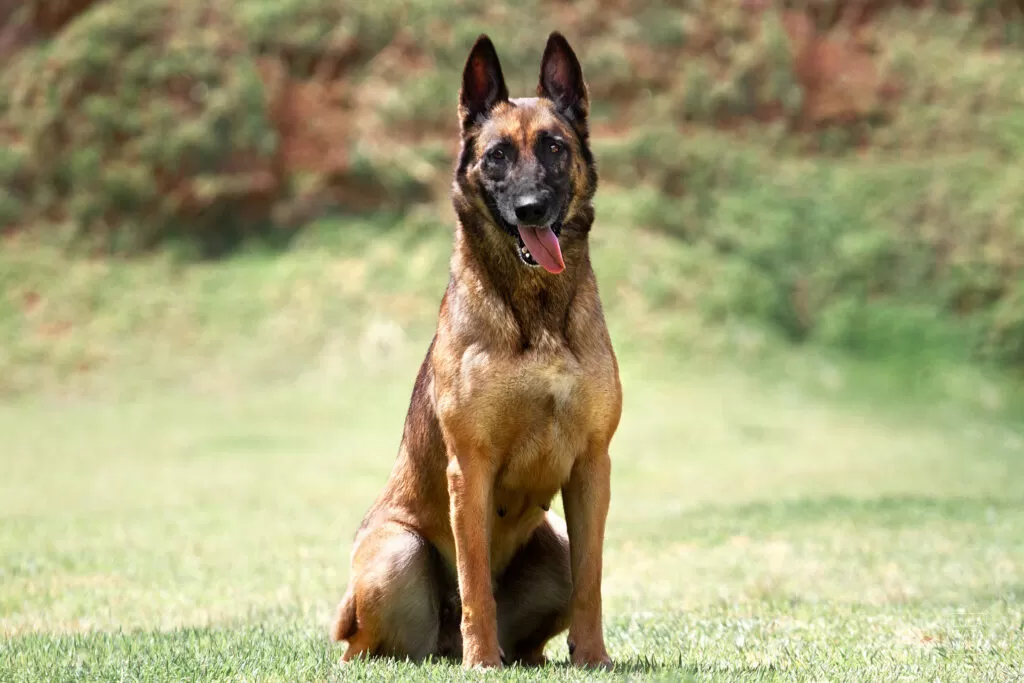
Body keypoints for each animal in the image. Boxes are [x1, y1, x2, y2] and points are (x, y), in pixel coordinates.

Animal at [327, 29, 618, 671]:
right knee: (365, 644)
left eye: (555, 148)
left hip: (553, 549)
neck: (536, 313)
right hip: (397, 552)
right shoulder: (471, 466)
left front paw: (593, 656)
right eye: (497, 156)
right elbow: (475, 578)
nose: (533, 208)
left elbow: (592, 580)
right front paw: (481, 659)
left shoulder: (592, 464)